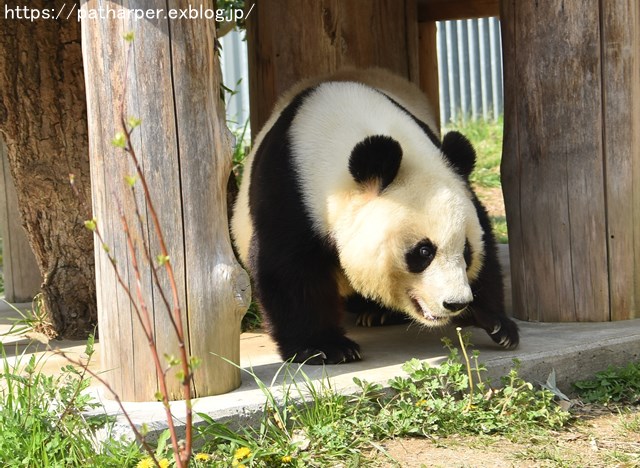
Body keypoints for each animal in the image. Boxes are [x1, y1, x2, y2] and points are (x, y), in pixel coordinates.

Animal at [231, 67, 520, 364]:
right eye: (423, 252)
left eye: (466, 251)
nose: (456, 302)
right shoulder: (290, 189)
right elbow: (288, 268)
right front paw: (326, 348)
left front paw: (498, 325)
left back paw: (378, 313)